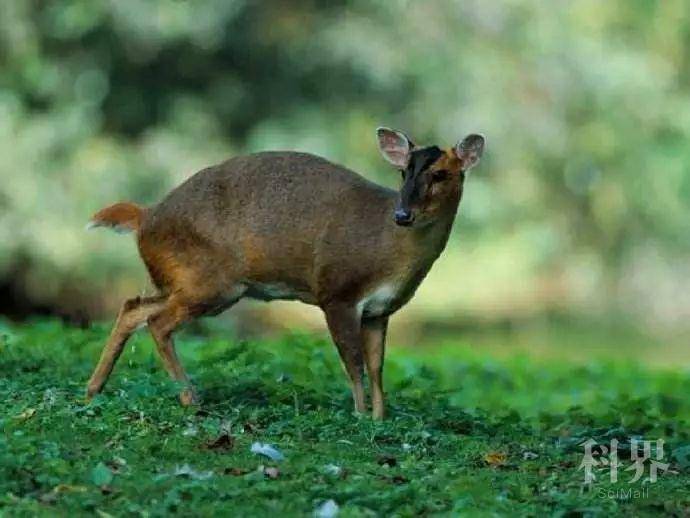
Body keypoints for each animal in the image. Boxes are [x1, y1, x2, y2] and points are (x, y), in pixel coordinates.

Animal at [86, 128, 484, 420]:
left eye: (440, 174)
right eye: (404, 172)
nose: (403, 215)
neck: (388, 252)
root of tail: (145, 216)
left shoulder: (378, 310)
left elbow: (376, 367)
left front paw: (379, 418)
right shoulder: (336, 292)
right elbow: (353, 363)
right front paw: (359, 416)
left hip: (187, 282)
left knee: (133, 306)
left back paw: (93, 390)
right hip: (210, 283)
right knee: (159, 322)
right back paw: (190, 399)